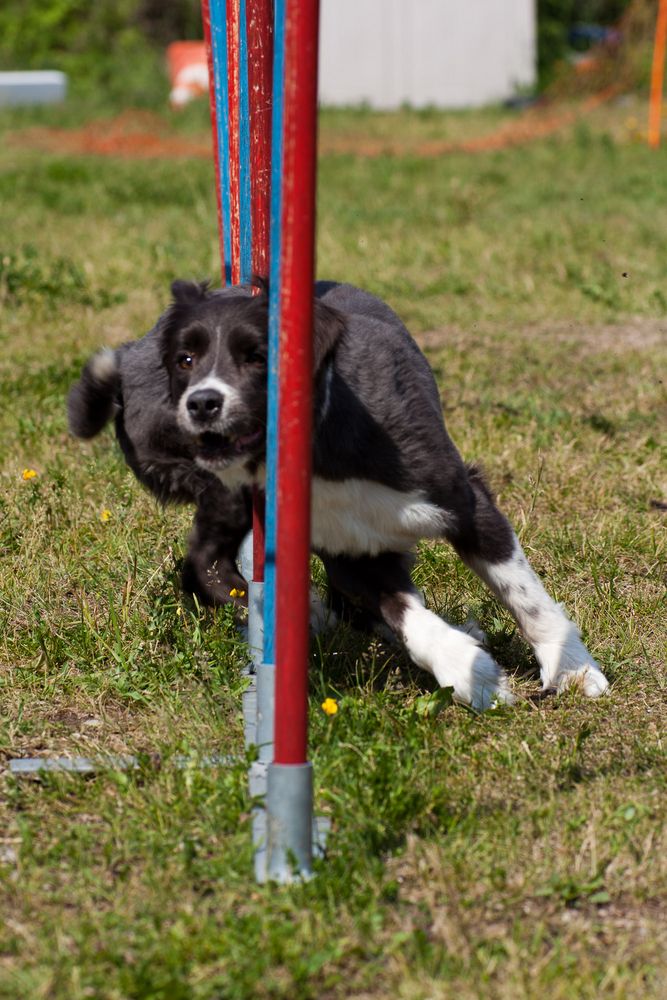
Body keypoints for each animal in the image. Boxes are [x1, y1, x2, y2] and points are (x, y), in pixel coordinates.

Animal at [153, 276, 612, 712]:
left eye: (257, 356)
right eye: (185, 359)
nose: (202, 403)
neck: (322, 452)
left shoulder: (465, 501)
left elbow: (523, 593)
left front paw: (572, 669)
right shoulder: (348, 552)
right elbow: (401, 611)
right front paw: (470, 672)